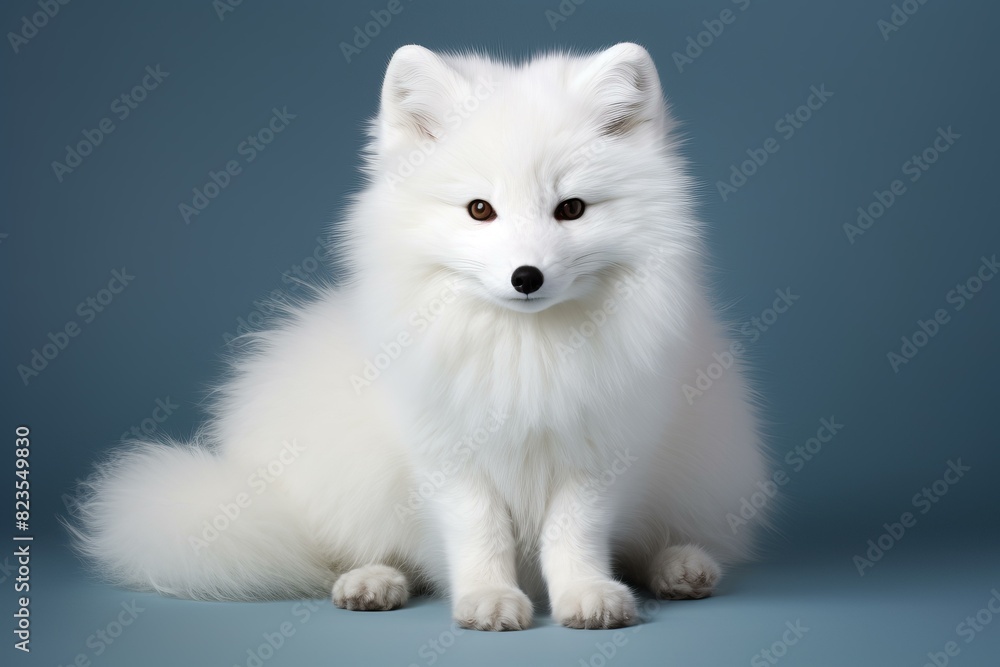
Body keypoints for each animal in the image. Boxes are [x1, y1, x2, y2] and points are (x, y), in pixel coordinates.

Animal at [70, 43, 769, 630]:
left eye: (571, 209)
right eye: (480, 210)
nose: (526, 276)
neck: (522, 351)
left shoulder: (597, 454)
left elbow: (574, 533)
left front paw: (585, 594)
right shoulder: (446, 453)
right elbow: (480, 531)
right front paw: (489, 598)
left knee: (655, 539)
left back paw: (679, 565)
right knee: (344, 551)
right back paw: (371, 582)